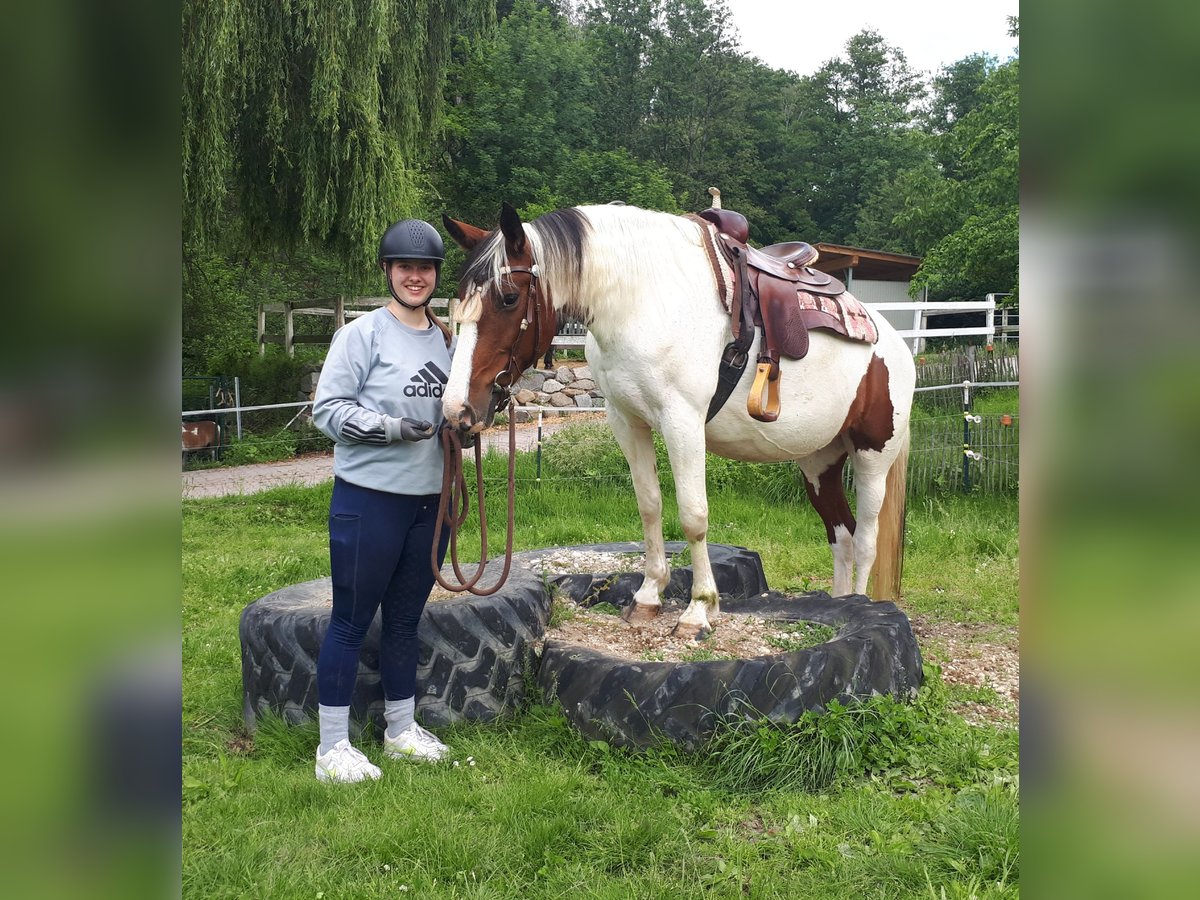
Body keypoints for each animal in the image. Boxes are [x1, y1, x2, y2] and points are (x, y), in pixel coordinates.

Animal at [446, 204, 912, 643]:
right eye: (459, 298)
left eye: (508, 297)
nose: (457, 411)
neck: (643, 300)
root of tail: (893, 341)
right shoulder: (627, 421)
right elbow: (650, 505)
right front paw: (648, 596)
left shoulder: (682, 420)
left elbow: (693, 515)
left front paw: (698, 610)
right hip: (818, 462)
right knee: (842, 537)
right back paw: (842, 602)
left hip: (872, 458)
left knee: (866, 540)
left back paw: (860, 603)